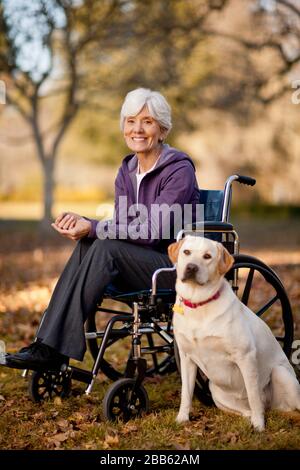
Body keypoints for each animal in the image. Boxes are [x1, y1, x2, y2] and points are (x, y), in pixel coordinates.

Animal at [169, 237, 300, 432]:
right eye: (186, 252)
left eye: (207, 256)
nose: (191, 267)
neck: (199, 303)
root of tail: (272, 408)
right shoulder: (186, 358)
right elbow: (186, 392)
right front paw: (182, 419)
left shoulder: (246, 357)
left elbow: (253, 395)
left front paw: (259, 426)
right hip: (214, 390)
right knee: (247, 410)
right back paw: (249, 417)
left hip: (281, 373)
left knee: (269, 402)